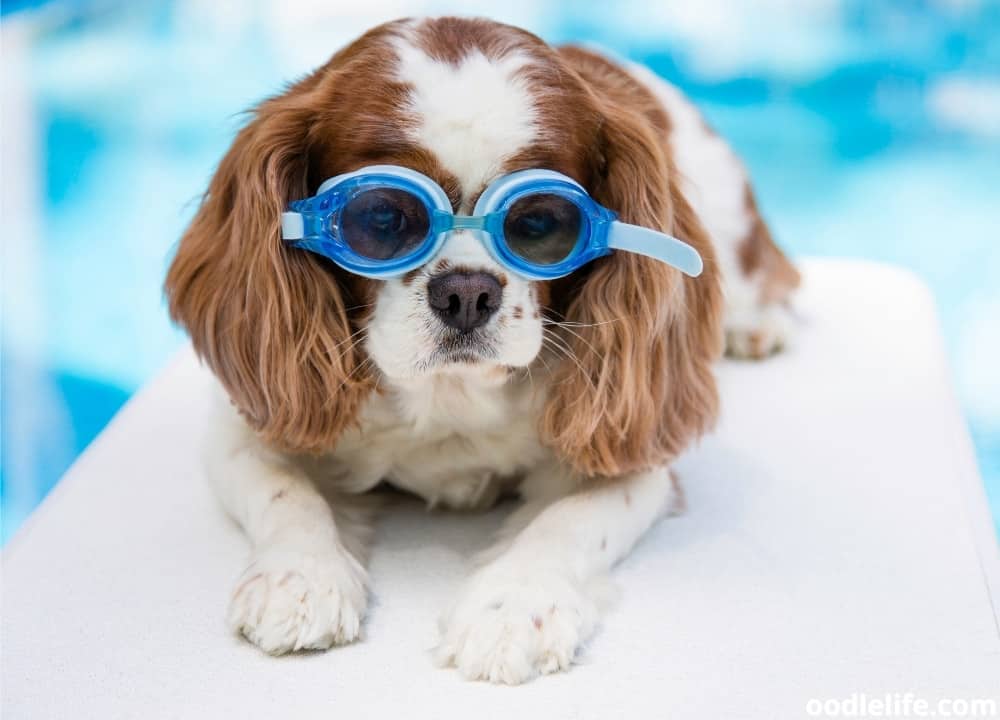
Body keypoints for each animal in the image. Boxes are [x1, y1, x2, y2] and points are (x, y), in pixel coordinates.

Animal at [168, 14, 800, 684]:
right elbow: (285, 492)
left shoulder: (632, 456)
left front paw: (513, 608)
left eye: (540, 223)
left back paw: (755, 324)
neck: (449, 395)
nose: (466, 293)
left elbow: (566, 524)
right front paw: (300, 577)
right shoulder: (246, 427)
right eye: (381, 218)